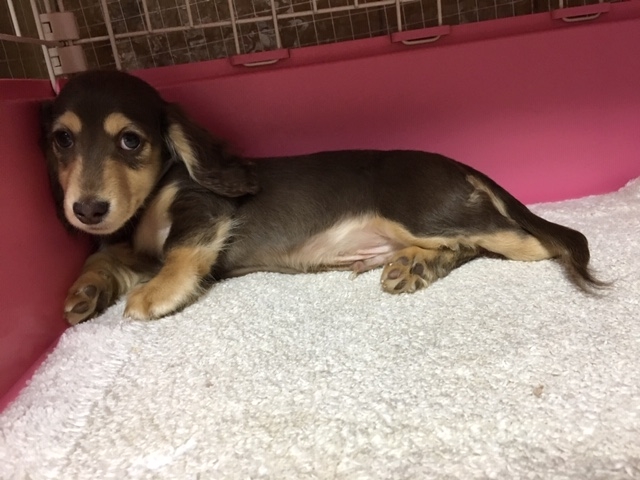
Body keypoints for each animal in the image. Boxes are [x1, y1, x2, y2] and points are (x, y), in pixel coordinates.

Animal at [40, 70, 604, 325]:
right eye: (62, 139)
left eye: (130, 141)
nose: (87, 210)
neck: (158, 188)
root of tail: (457, 164)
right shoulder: (137, 246)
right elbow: (105, 256)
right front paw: (86, 291)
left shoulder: (204, 210)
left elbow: (180, 251)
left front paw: (153, 294)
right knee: (465, 247)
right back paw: (414, 266)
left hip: (421, 213)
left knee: (524, 240)